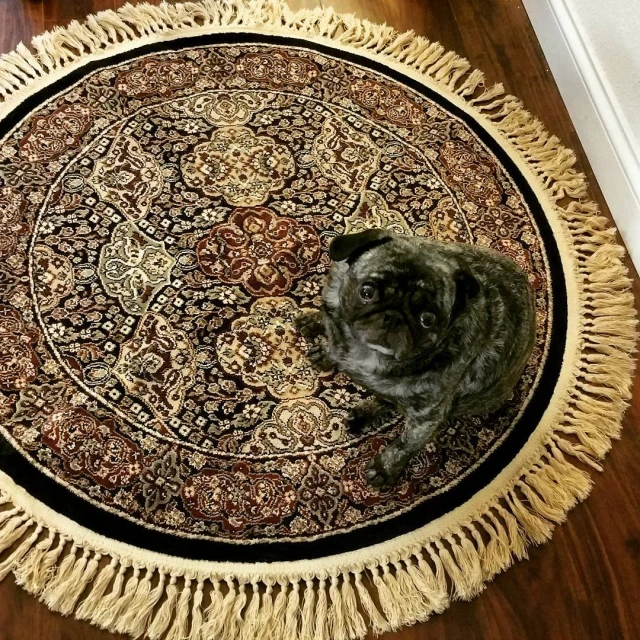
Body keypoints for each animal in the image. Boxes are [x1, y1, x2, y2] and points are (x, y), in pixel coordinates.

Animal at [298, 230, 536, 490]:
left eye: (427, 319)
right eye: (367, 292)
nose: (393, 316)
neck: (368, 355)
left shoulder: (427, 418)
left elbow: (406, 444)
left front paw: (384, 469)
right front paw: (324, 344)